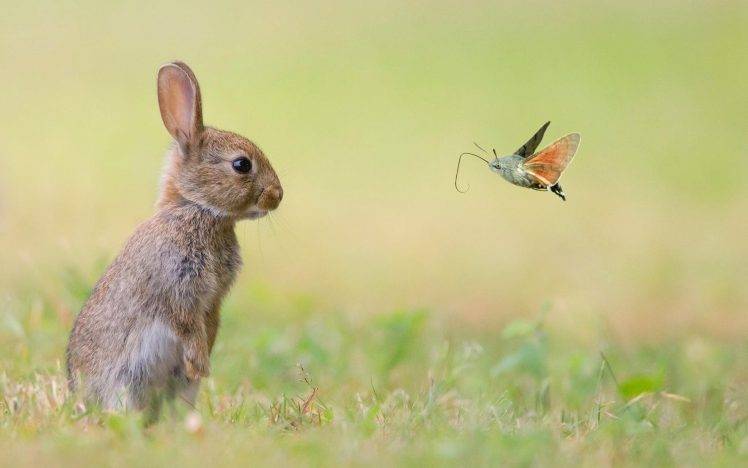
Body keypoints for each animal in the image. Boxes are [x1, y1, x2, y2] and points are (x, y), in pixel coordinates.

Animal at [66, 61, 283, 411]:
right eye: (241, 164)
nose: (277, 196)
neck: (197, 209)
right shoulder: (176, 286)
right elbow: (186, 323)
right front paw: (201, 363)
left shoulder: (213, 299)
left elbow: (209, 322)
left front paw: (205, 360)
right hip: (125, 383)